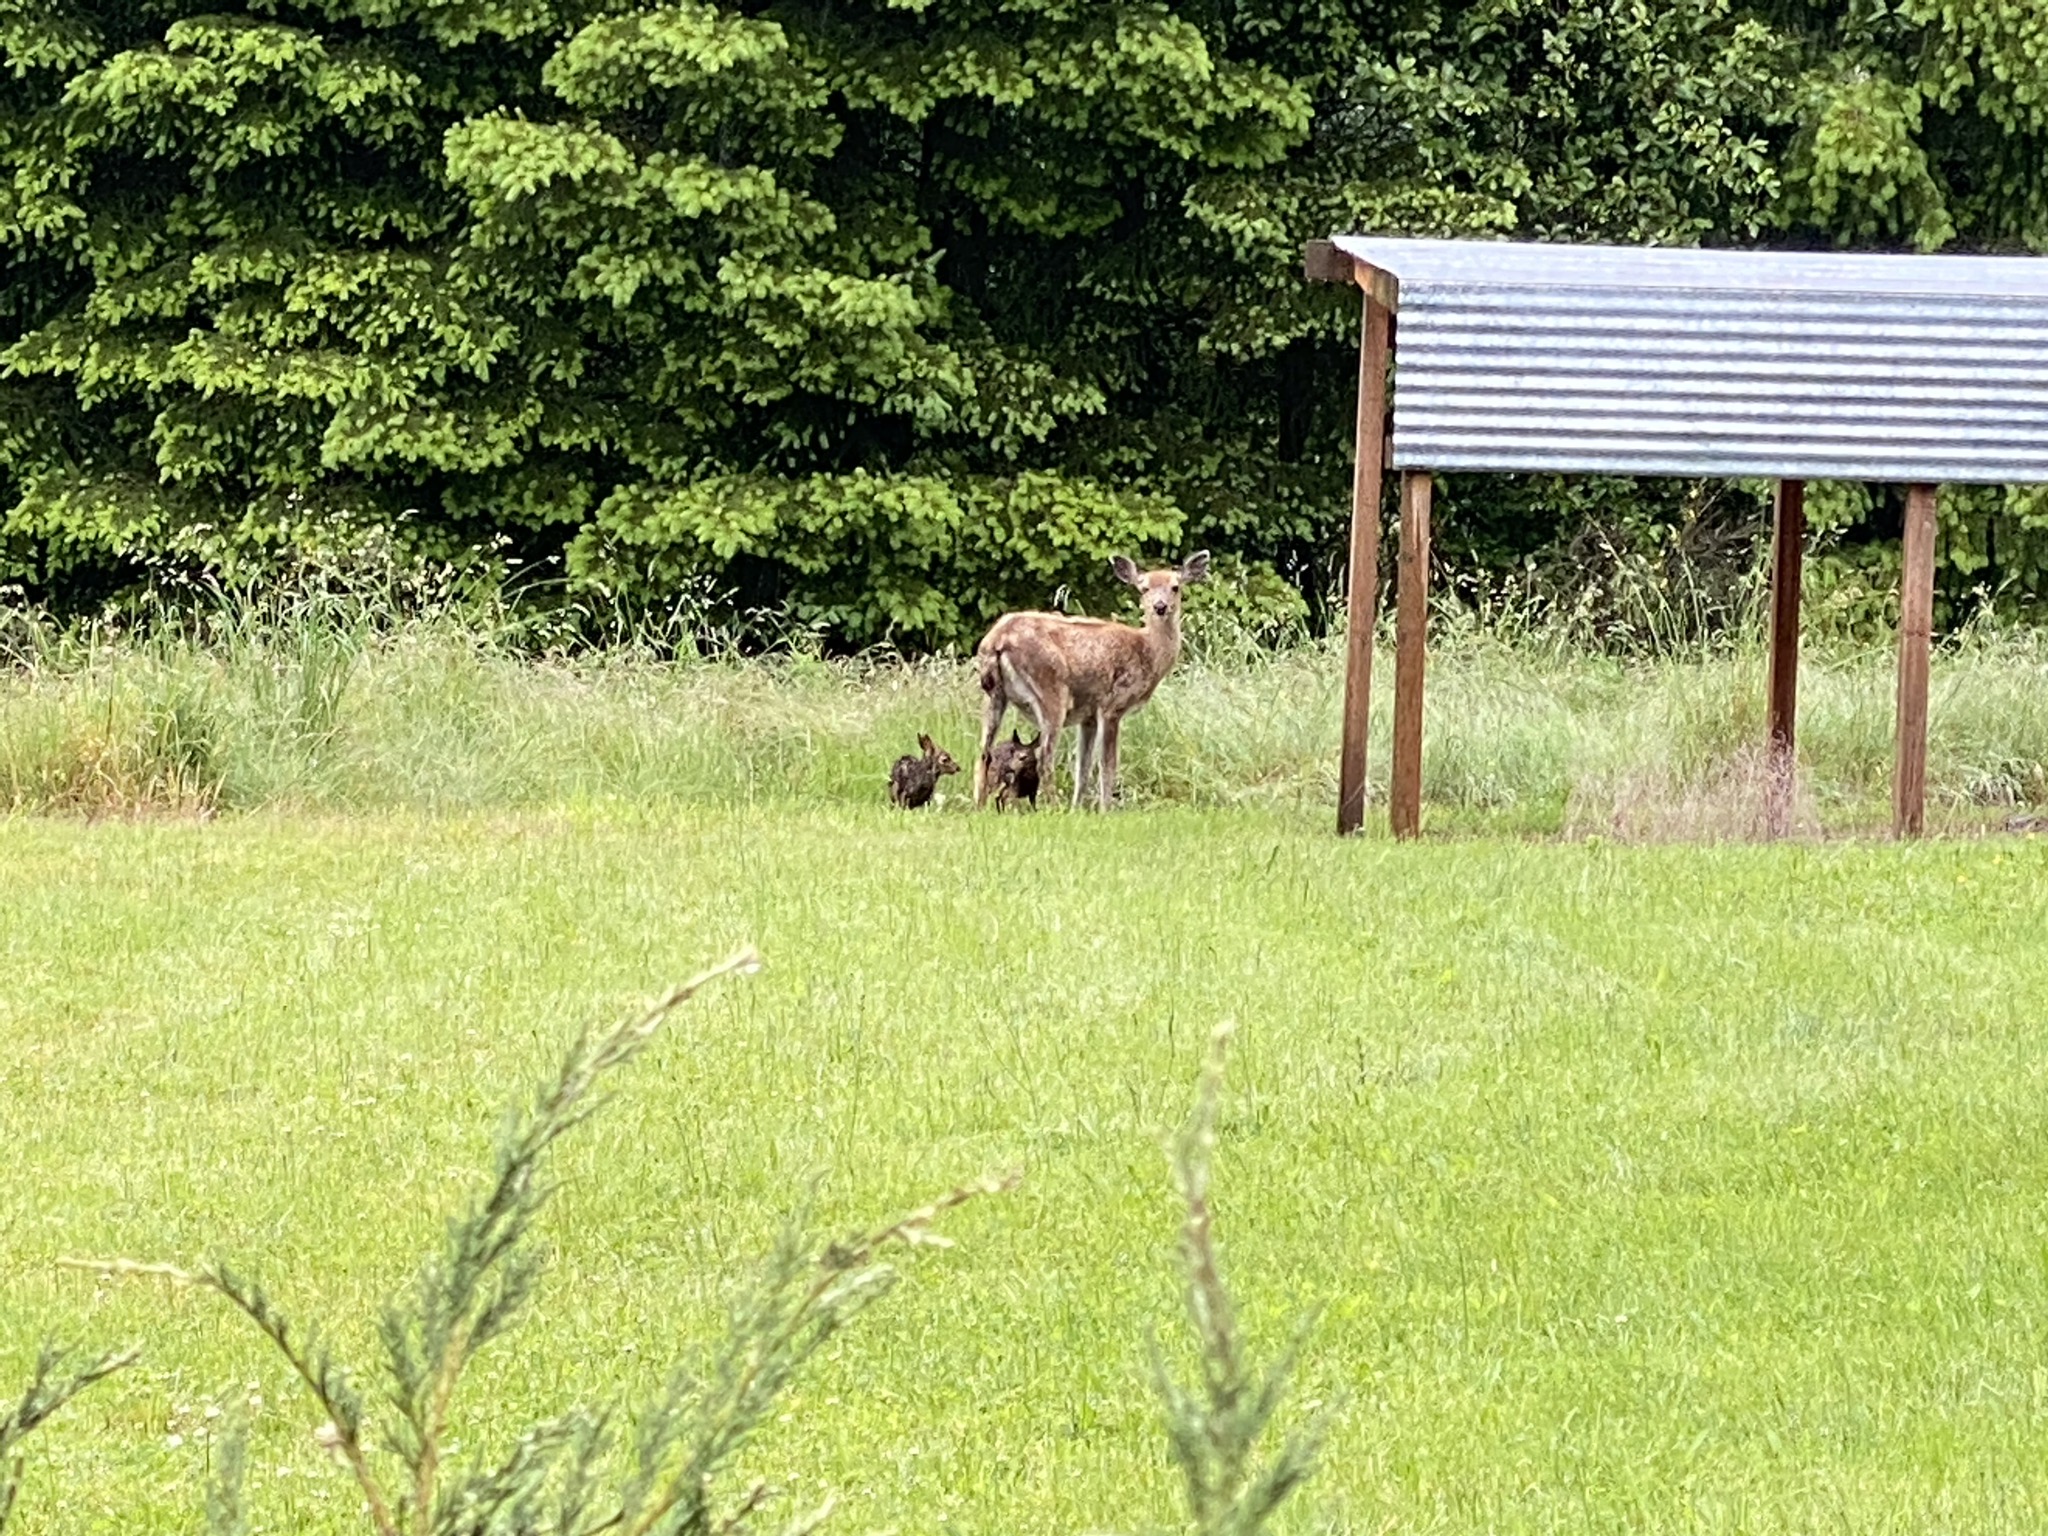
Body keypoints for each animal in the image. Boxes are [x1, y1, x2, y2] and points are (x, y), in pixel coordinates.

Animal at [973, 552, 1209, 811]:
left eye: (1175, 587)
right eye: (1144, 588)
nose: (1160, 606)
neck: (1149, 651)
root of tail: (997, 639)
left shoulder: (1088, 716)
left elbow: (1082, 767)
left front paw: (1077, 809)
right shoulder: (1112, 705)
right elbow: (1107, 764)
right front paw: (1105, 810)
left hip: (994, 695)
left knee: (984, 751)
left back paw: (980, 806)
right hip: (1051, 691)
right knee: (1044, 755)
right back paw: (1053, 806)